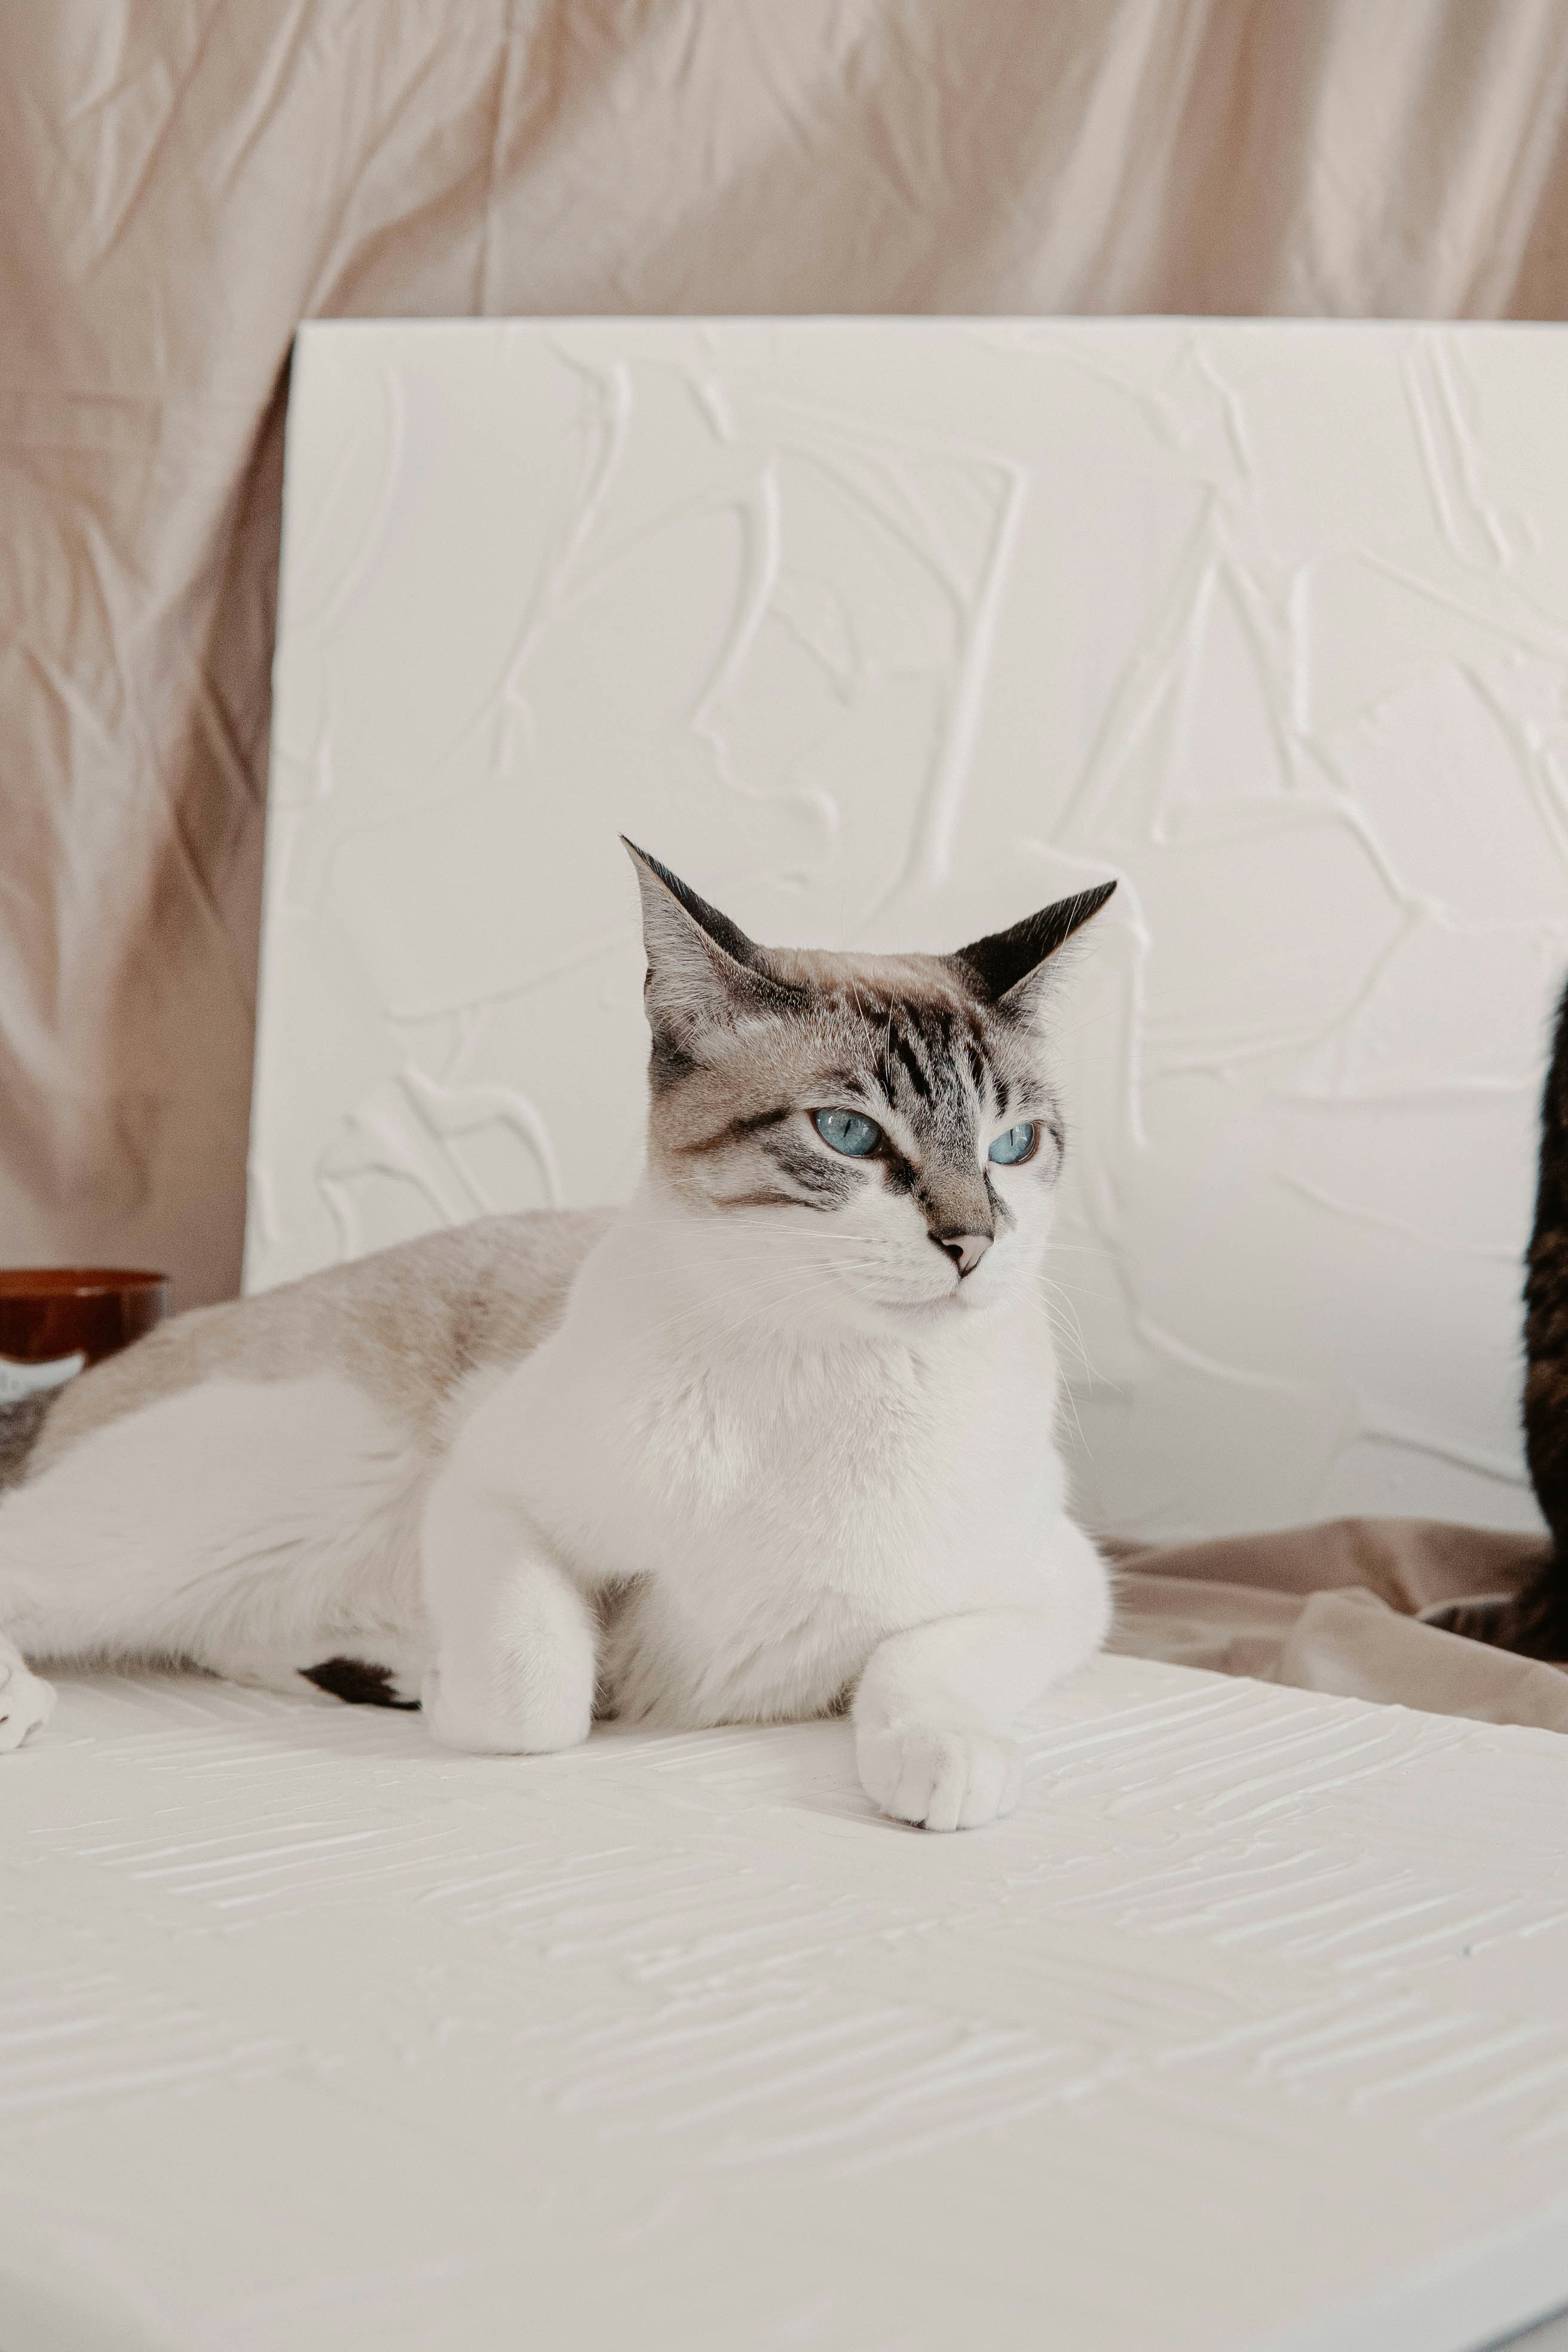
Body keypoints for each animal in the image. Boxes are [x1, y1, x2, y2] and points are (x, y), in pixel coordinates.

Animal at [0, 846, 1114, 1835]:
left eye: (1012, 1146)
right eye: (849, 1135)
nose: (972, 1243)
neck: (823, 1375)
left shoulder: (1060, 1591)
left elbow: (914, 1667)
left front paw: (944, 1761)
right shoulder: (484, 1493)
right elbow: (534, 1699)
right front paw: (464, 1691)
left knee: (215, 1640)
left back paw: (367, 1672)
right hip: (293, 1492)